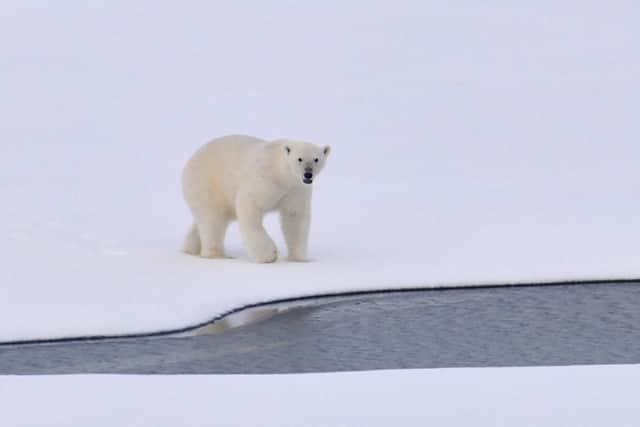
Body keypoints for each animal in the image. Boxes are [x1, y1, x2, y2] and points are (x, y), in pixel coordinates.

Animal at [180, 135, 330, 262]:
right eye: (299, 159)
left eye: (316, 159)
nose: (308, 174)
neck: (281, 174)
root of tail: (190, 160)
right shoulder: (264, 179)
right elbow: (250, 206)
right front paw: (269, 255)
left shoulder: (295, 189)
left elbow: (295, 217)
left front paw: (300, 258)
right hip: (207, 183)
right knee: (212, 219)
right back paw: (217, 255)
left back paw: (190, 248)